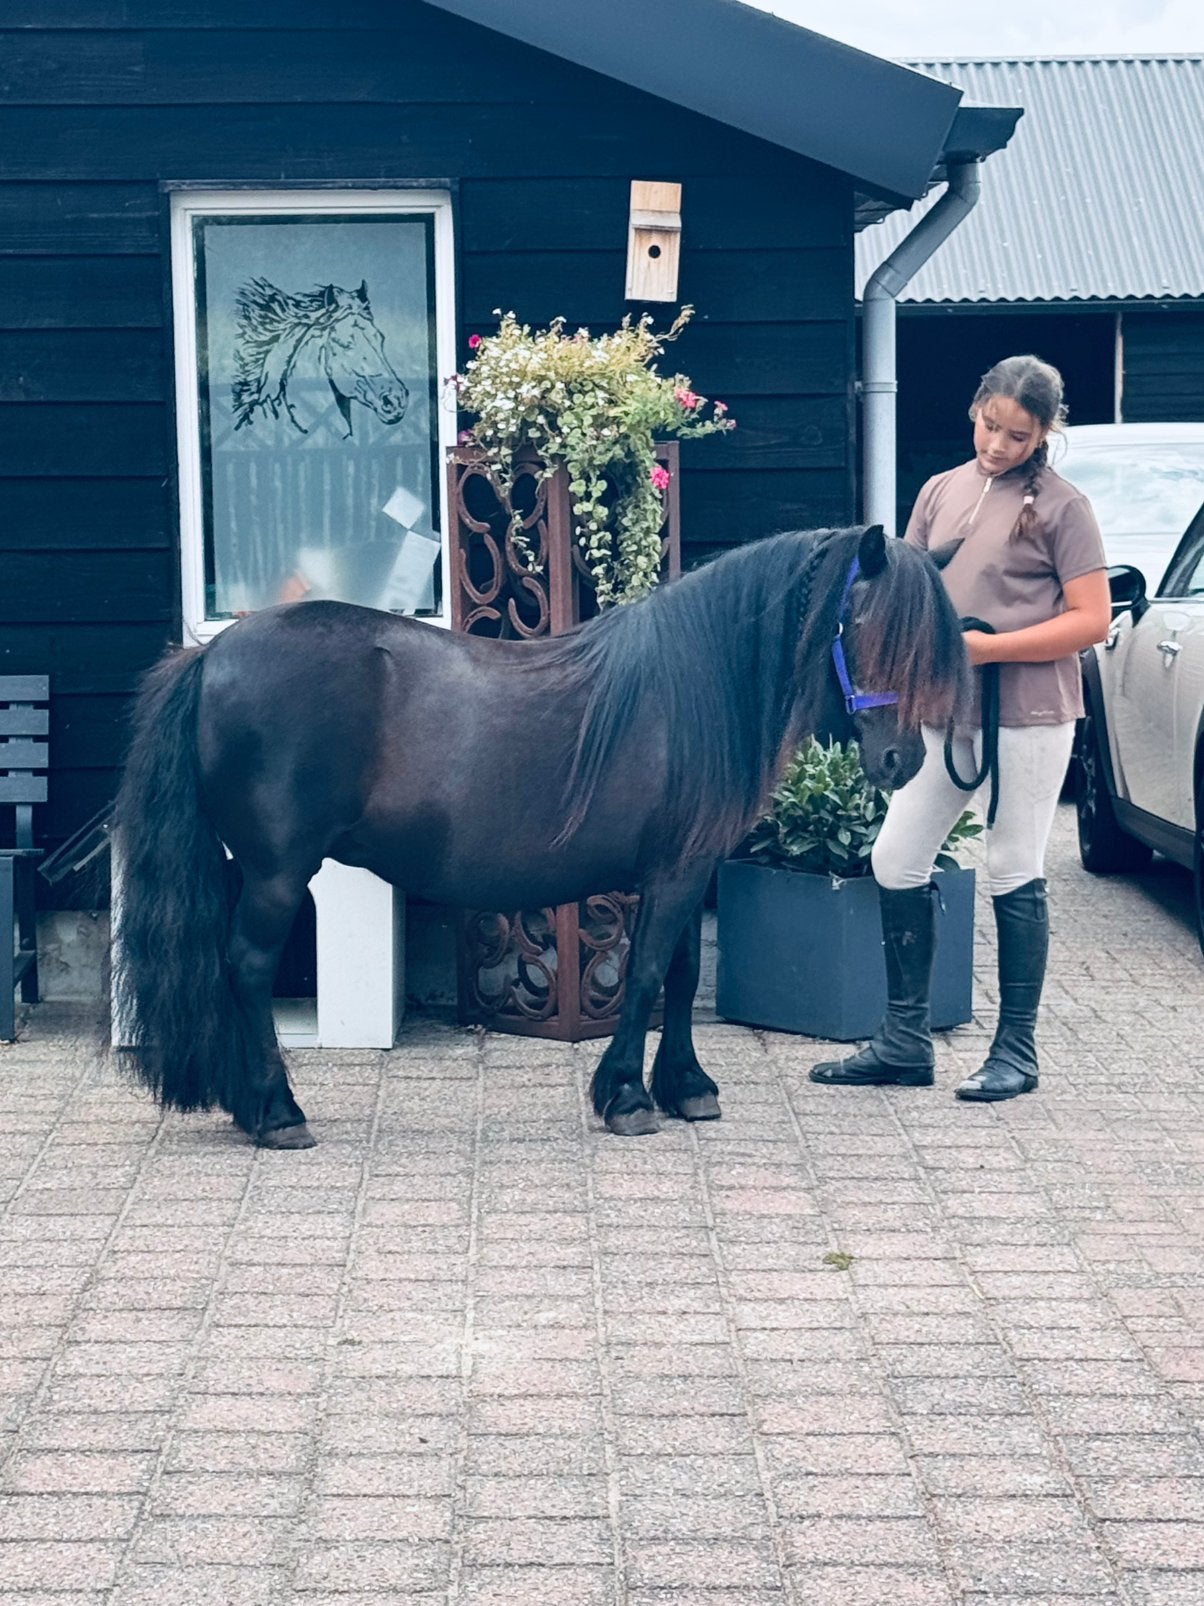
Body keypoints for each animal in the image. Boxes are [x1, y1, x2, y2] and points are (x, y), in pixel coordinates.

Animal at [112, 523, 967, 1148]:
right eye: (861, 624)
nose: (903, 761)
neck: (695, 688)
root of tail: (211, 655)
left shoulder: (684, 870)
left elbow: (683, 972)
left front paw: (687, 1087)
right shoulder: (675, 871)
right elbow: (649, 973)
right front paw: (626, 1097)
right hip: (278, 872)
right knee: (248, 967)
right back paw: (277, 1111)